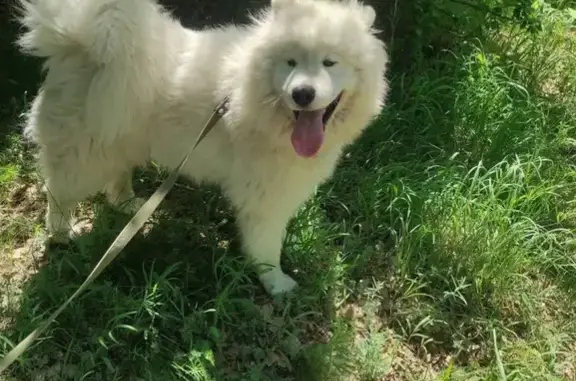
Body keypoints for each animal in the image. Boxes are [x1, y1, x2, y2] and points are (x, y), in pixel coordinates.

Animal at [18, 0, 390, 294]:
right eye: (290, 62)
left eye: (330, 63)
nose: (302, 94)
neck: (252, 97)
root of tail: (75, 39)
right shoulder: (266, 197)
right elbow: (267, 244)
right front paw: (274, 283)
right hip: (86, 151)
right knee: (58, 193)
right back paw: (61, 235)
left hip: (120, 140)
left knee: (116, 180)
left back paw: (129, 205)